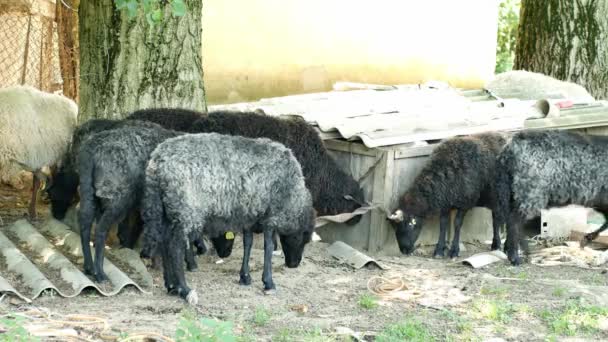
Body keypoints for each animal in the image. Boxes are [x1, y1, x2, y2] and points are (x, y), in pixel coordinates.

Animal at [140, 133, 316, 304]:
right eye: (303, 238)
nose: (294, 264)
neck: (293, 196)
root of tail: (158, 161)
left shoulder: (250, 214)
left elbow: (248, 243)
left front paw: (245, 277)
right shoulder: (272, 215)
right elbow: (269, 246)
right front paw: (268, 282)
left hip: (165, 208)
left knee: (164, 243)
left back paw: (170, 286)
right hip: (186, 208)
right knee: (175, 247)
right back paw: (184, 289)